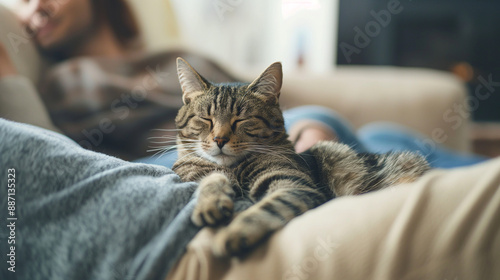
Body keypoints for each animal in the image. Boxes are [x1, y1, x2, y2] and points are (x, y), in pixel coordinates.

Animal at [172, 58, 430, 258]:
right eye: (206, 119)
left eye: (242, 120)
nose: (219, 139)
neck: (234, 168)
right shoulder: (193, 174)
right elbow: (210, 180)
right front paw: (211, 203)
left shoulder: (293, 185)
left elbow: (266, 209)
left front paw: (233, 233)